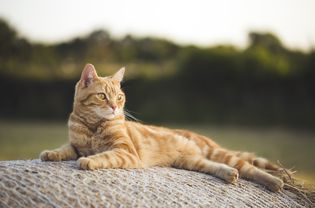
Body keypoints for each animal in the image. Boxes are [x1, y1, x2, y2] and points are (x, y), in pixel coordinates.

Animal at [40, 63, 286, 192]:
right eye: (102, 96)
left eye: (119, 97)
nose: (114, 107)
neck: (92, 127)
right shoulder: (75, 145)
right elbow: (64, 149)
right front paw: (50, 154)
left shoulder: (126, 152)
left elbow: (105, 156)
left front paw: (89, 161)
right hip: (191, 161)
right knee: (218, 166)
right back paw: (229, 175)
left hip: (218, 154)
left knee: (250, 168)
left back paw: (275, 183)